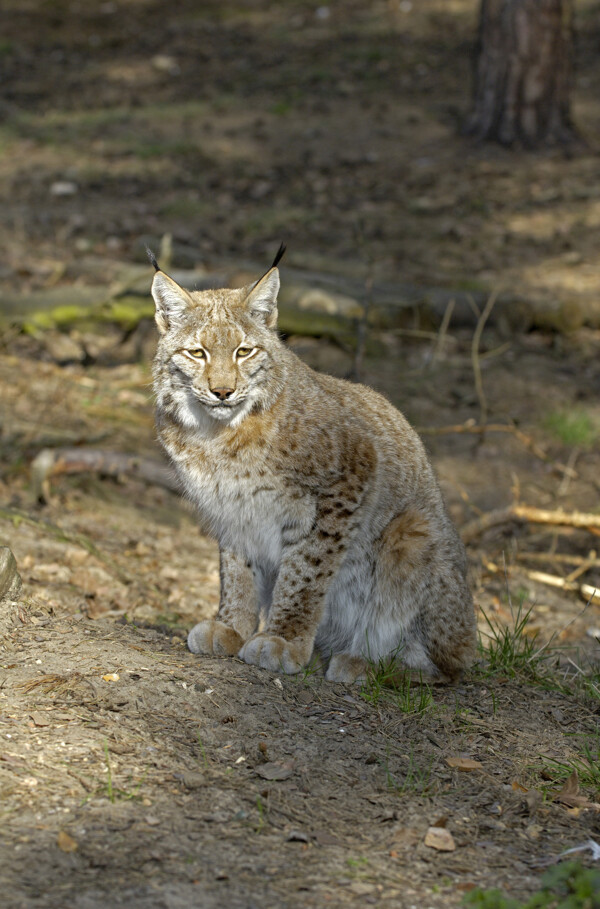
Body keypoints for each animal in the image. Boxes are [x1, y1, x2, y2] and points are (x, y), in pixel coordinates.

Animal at [148, 245, 476, 676]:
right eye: (197, 353)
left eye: (244, 351)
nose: (222, 392)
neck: (216, 434)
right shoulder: (231, 506)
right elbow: (236, 570)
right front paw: (232, 627)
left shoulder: (350, 476)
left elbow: (304, 572)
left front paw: (284, 640)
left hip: (413, 529)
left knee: (447, 664)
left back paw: (369, 662)